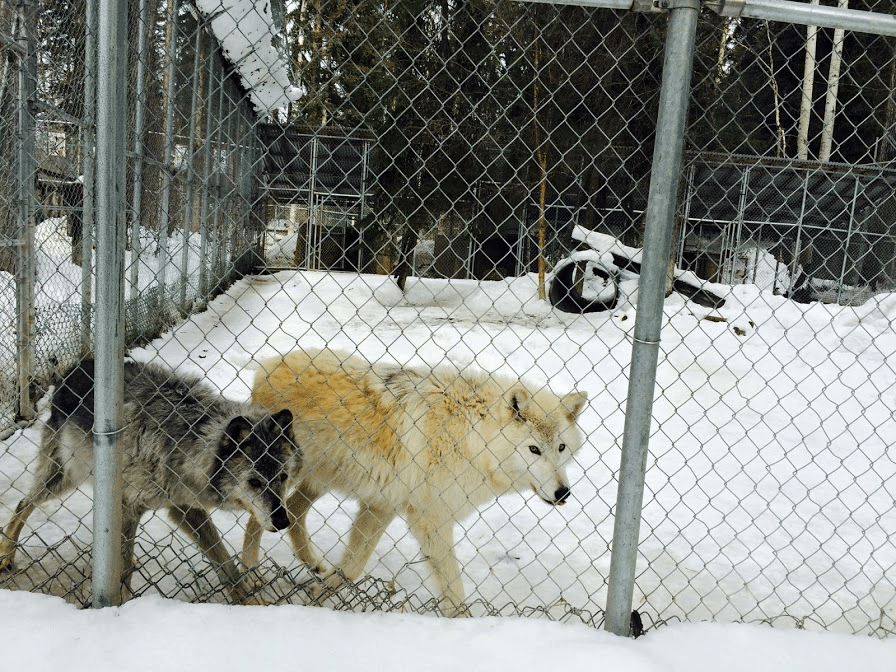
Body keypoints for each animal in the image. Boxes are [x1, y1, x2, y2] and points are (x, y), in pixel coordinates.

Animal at [0, 362, 300, 604]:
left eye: (283, 477)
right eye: (254, 482)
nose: (283, 521)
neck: (184, 439)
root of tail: (74, 368)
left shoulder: (184, 508)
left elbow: (225, 563)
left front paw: (252, 604)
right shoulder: (129, 504)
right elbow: (123, 569)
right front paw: (118, 606)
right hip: (63, 478)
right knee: (23, 503)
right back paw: (6, 555)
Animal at [242, 350, 588, 616]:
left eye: (561, 448)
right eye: (534, 449)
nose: (563, 493)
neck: (471, 437)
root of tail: (265, 367)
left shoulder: (381, 504)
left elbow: (352, 566)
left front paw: (319, 594)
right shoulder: (430, 517)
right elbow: (452, 587)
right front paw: (462, 624)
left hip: (319, 479)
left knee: (294, 512)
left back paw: (313, 565)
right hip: (283, 480)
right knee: (256, 520)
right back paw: (249, 577)